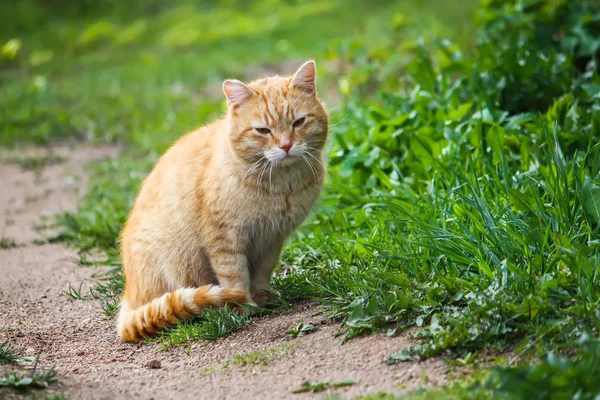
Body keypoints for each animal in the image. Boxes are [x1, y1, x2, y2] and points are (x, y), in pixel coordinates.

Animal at [115, 61, 326, 342]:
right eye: (263, 130)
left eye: (299, 122)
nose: (286, 145)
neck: (281, 185)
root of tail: (128, 298)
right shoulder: (224, 237)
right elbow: (233, 275)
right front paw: (242, 305)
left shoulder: (271, 239)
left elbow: (262, 272)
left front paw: (263, 298)